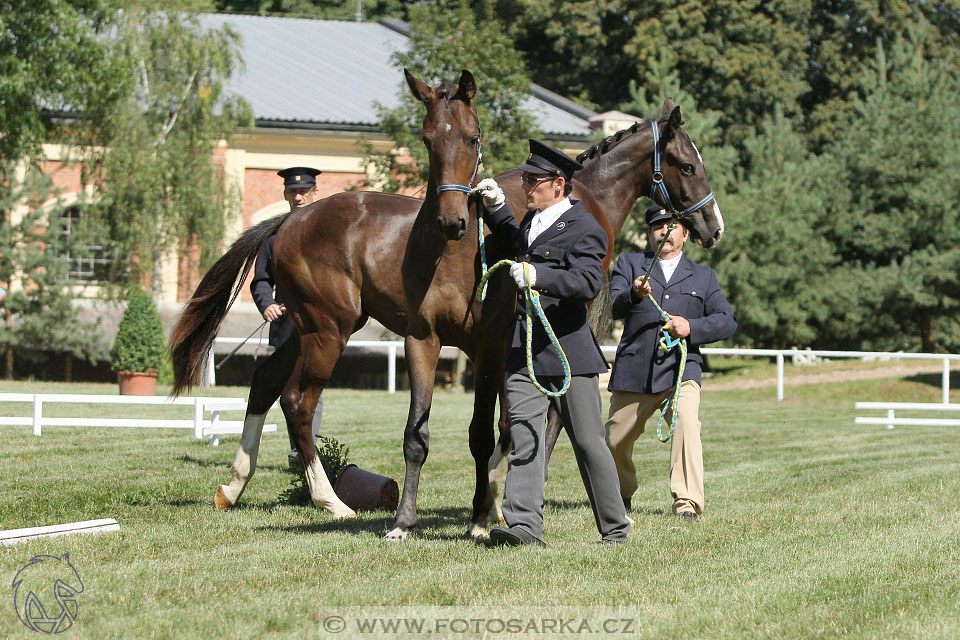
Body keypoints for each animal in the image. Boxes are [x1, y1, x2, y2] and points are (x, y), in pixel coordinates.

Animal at [169, 74, 724, 536]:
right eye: (688, 164)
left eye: (474, 137)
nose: (712, 225)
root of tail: (290, 220)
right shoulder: (456, 341)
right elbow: (499, 426)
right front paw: (481, 507)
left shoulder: (496, 347)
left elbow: (500, 426)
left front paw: (492, 504)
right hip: (329, 331)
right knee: (299, 404)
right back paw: (333, 502)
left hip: (300, 327)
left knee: (266, 388)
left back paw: (234, 486)